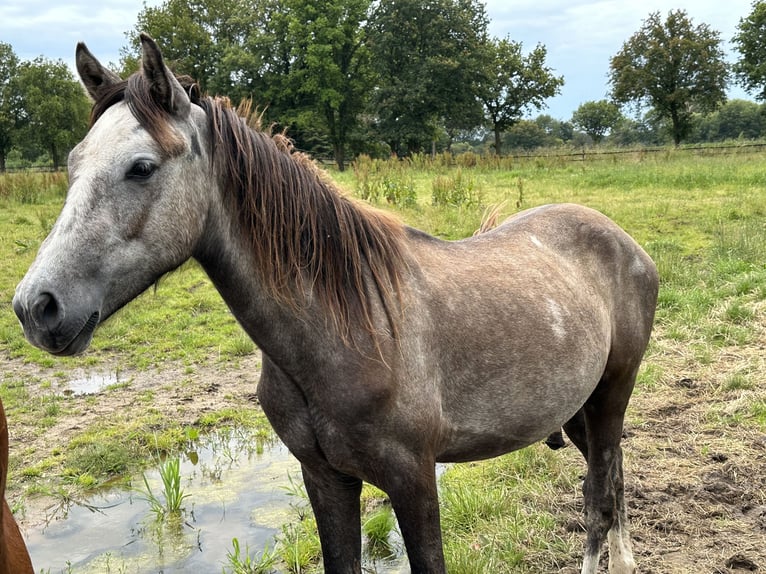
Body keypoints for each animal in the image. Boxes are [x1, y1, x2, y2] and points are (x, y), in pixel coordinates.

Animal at [12, 33, 660, 572]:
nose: (36, 307)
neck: (346, 330)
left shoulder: (415, 482)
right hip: (579, 410)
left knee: (600, 497)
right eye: (72, 165)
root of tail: (622, 239)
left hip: (611, 396)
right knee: (611, 481)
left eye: (141, 167)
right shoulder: (325, 480)